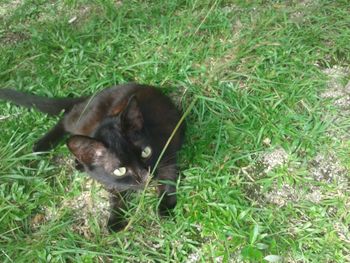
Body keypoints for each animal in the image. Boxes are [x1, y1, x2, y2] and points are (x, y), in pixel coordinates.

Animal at [0, 83, 186, 232]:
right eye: (120, 170)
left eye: (145, 153)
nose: (147, 177)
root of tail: (93, 96)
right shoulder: (110, 180)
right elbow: (116, 193)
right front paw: (115, 219)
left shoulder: (168, 150)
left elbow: (167, 178)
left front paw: (165, 207)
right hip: (82, 122)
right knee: (66, 120)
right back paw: (42, 146)